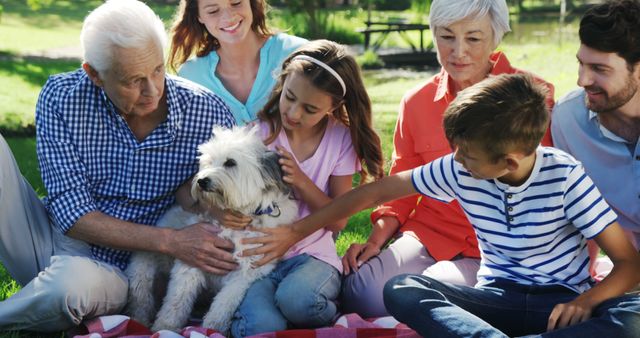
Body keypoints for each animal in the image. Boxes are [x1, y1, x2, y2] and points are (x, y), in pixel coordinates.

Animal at [126, 126, 298, 332]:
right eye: (207, 161)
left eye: (230, 162)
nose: (202, 181)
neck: (239, 214)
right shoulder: (193, 258)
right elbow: (176, 300)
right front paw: (165, 327)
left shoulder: (245, 273)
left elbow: (223, 305)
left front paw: (212, 327)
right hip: (142, 268)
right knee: (142, 298)